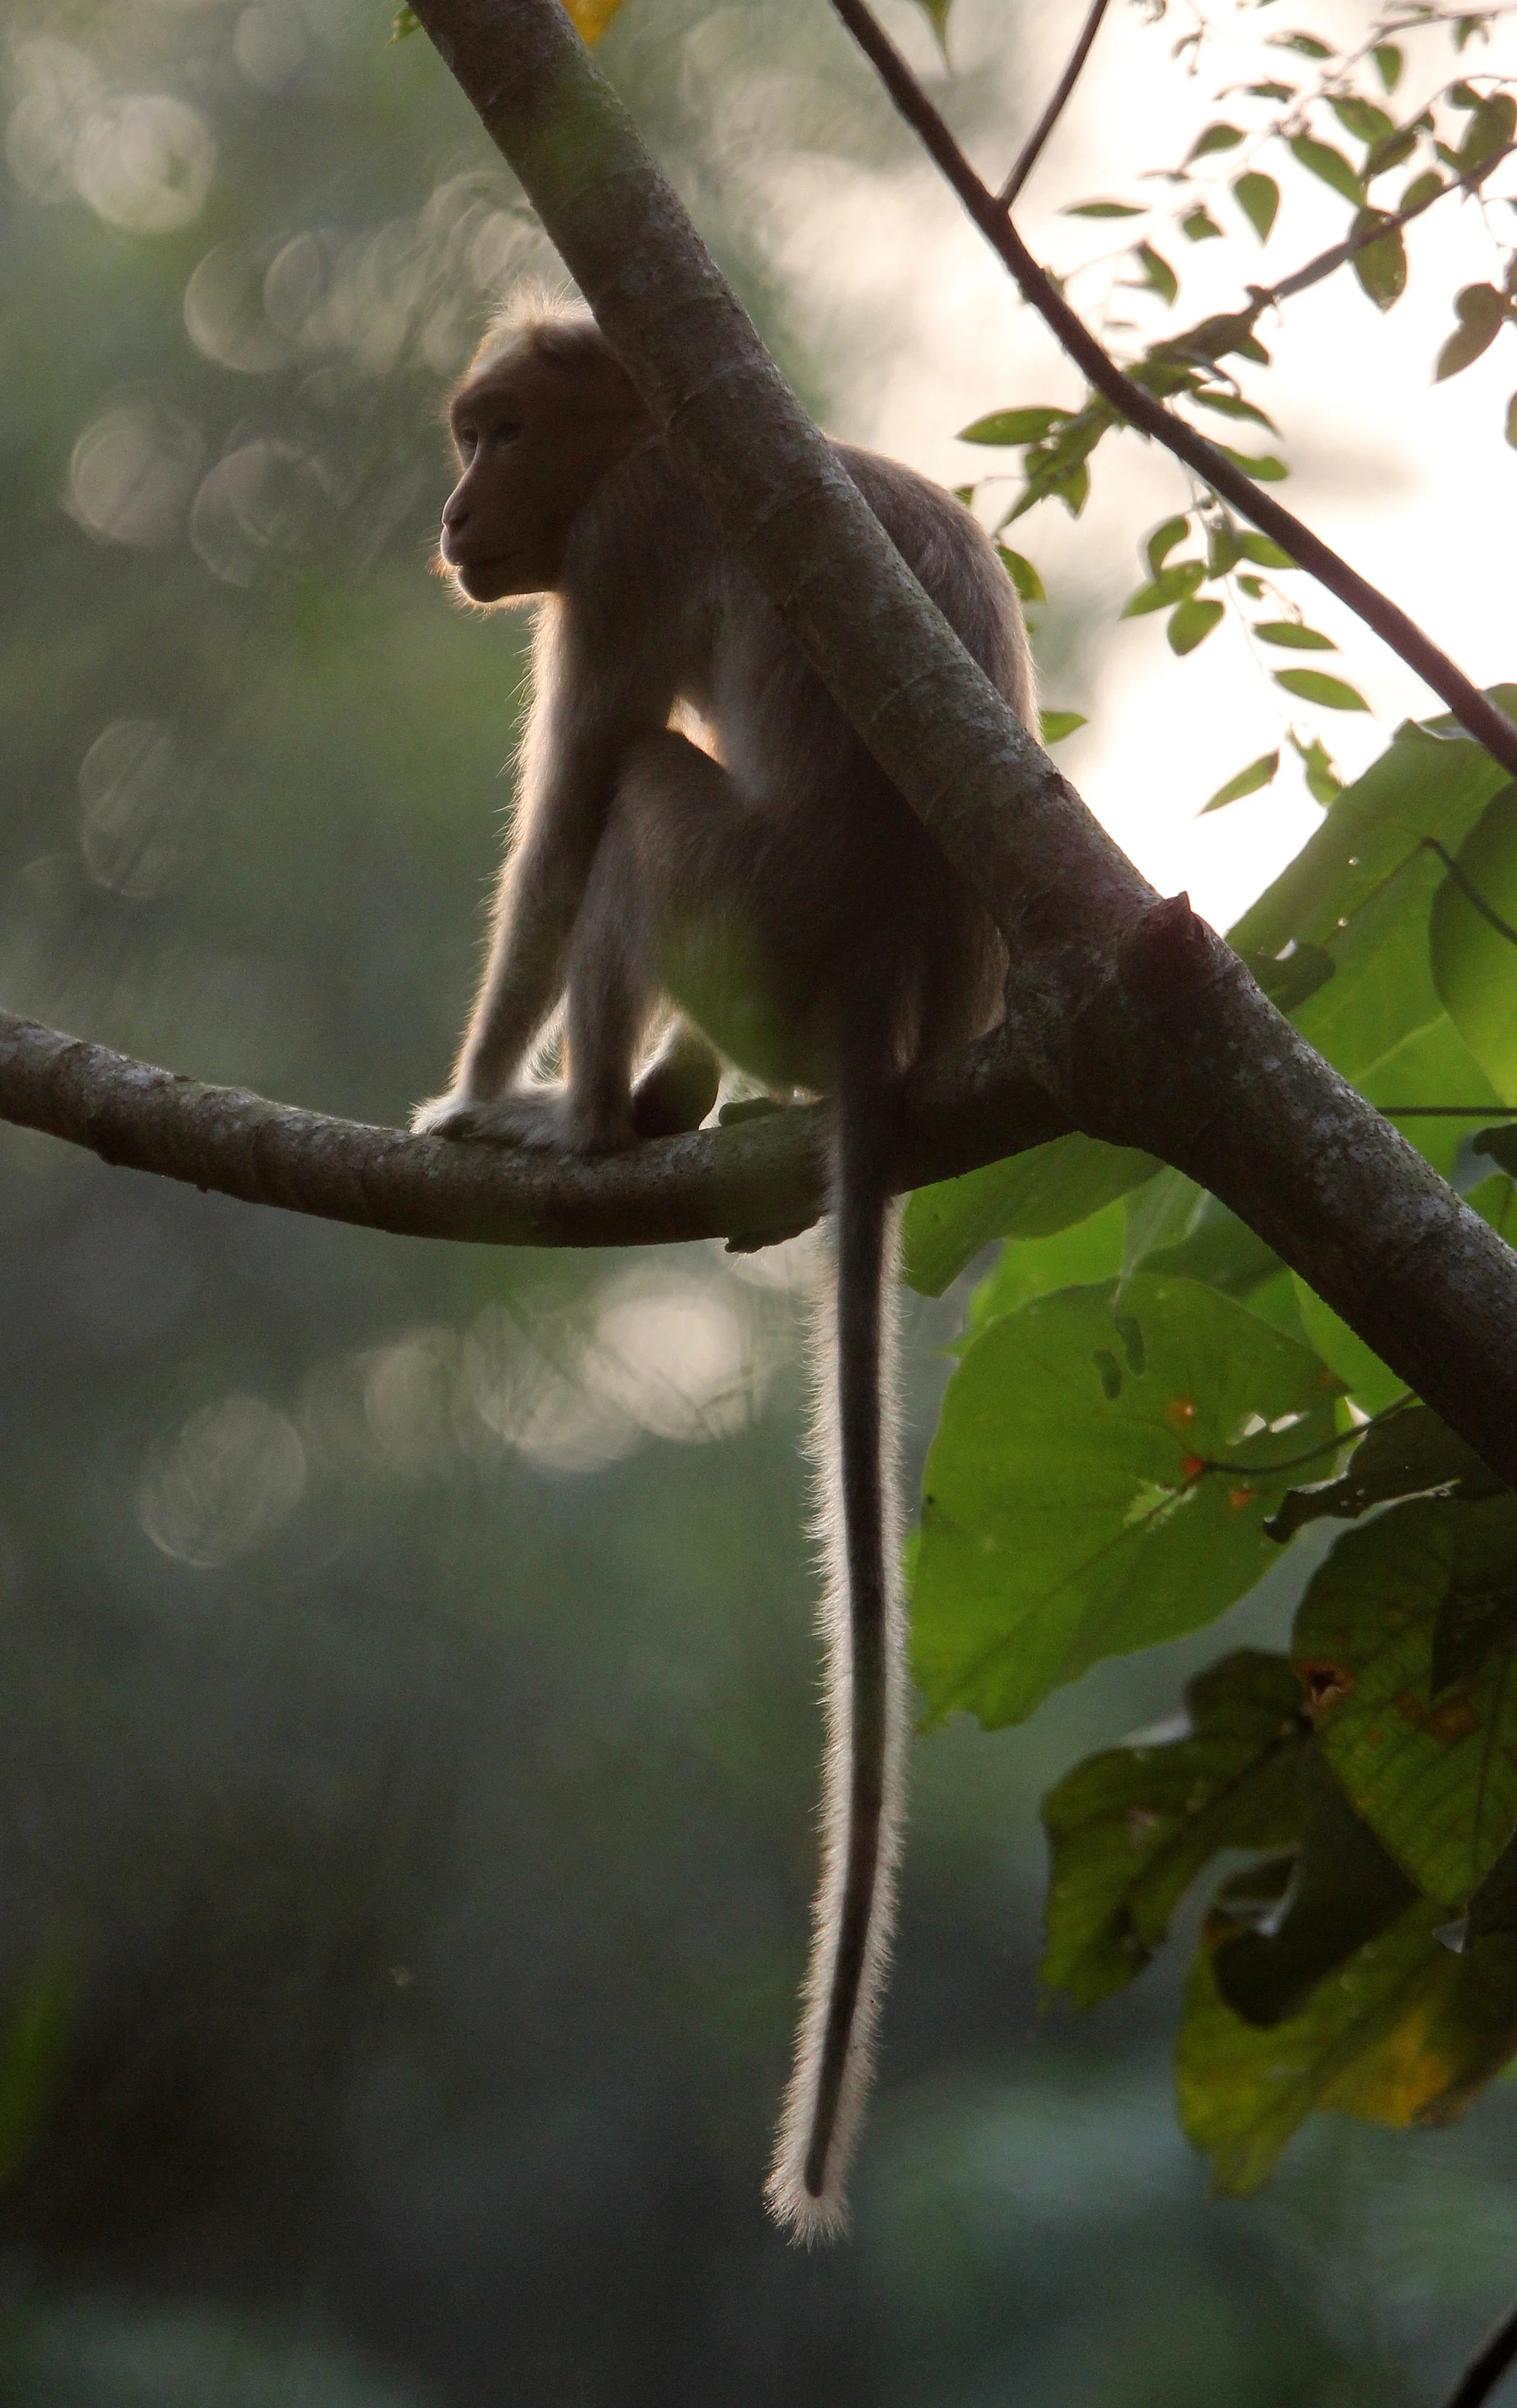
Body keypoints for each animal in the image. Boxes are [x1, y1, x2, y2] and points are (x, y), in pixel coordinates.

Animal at [413, 293, 1036, 2240]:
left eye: (498, 433)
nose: (452, 513)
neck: (659, 438)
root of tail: (893, 980)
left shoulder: (616, 554)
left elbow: (565, 817)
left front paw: (469, 1092)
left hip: (750, 907)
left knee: (635, 800)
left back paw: (588, 1123)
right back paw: (679, 1101)